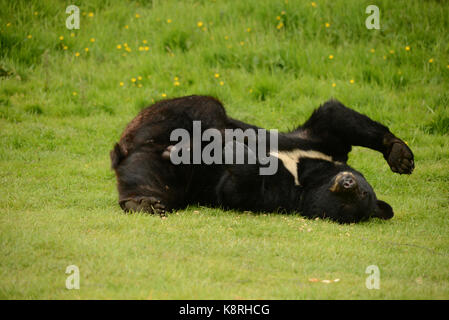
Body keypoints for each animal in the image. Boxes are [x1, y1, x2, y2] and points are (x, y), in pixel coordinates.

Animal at [111, 96, 412, 224]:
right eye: (365, 190)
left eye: (358, 198)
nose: (348, 183)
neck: (306, 178)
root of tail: (123, 151)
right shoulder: (320, 146)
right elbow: (334, 119)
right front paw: (400, 156)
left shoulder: (279, 196)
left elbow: (234, 190)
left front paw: (235, 151)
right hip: (160, 118)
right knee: (205, 109)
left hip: (168, 179)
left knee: (152, 184)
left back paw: (143, 202)